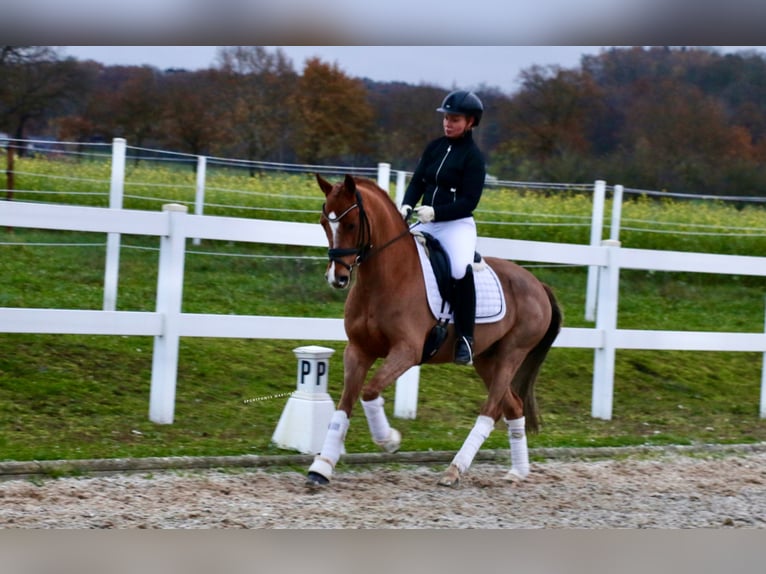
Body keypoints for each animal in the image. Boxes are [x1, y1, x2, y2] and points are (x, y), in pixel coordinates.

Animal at [308, 173, 564, 488]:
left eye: (352, 224)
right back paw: (517, 471)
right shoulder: (358, 350)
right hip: (485, 358)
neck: (386, 276)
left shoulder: (406, 351)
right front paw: (321, 467)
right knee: (513, 406)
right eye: (324, 223)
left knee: (491, 409)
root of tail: (537, 283)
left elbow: (370, 392)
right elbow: (344, 405)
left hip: (511, 353)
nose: (338, 278)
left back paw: (455, 469)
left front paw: (389, 440)